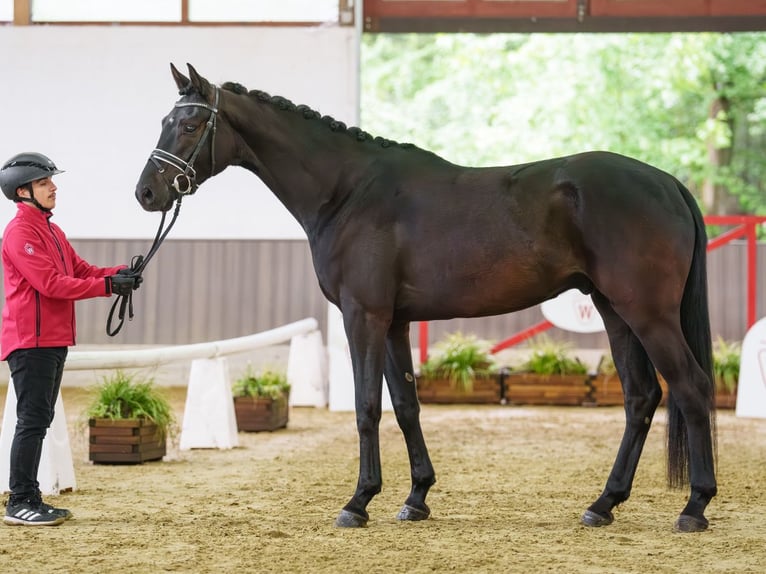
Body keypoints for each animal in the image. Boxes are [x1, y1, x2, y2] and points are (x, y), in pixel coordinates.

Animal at [134, 63, 717, 532]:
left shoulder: (363, 316)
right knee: (642, 396)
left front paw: (358, 502)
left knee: (691, 386)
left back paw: (694, 507)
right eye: (163, 121)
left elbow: (367, 407)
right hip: (616, 311)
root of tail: (668, 183)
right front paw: (415, 498)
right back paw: (603, 504)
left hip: (648, 313)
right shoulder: (394, 322)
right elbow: (407, 405)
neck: (349, 192)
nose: (146, 193)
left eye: (191, 124)